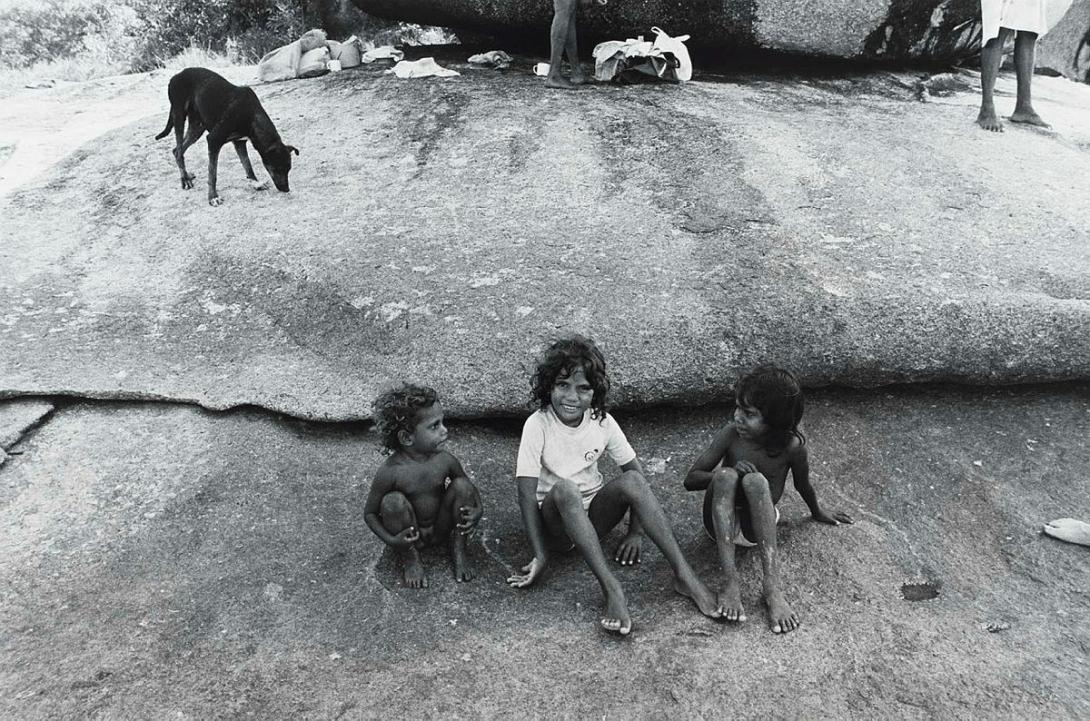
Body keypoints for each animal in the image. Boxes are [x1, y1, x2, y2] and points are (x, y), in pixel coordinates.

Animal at [154, 67, 298, 205]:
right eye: (277, 169)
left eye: (289, 169)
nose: (286, 189)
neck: (251, 115)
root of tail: (177, 75)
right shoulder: (213, 140)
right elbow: (212, 173)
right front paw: (213, 197)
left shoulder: (240, 142)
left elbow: (247, 165)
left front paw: (255, 183)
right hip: (179, 116)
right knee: (179, 150)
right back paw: (185, 180)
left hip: (197, 127)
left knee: (176, 150)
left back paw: (187, 175)